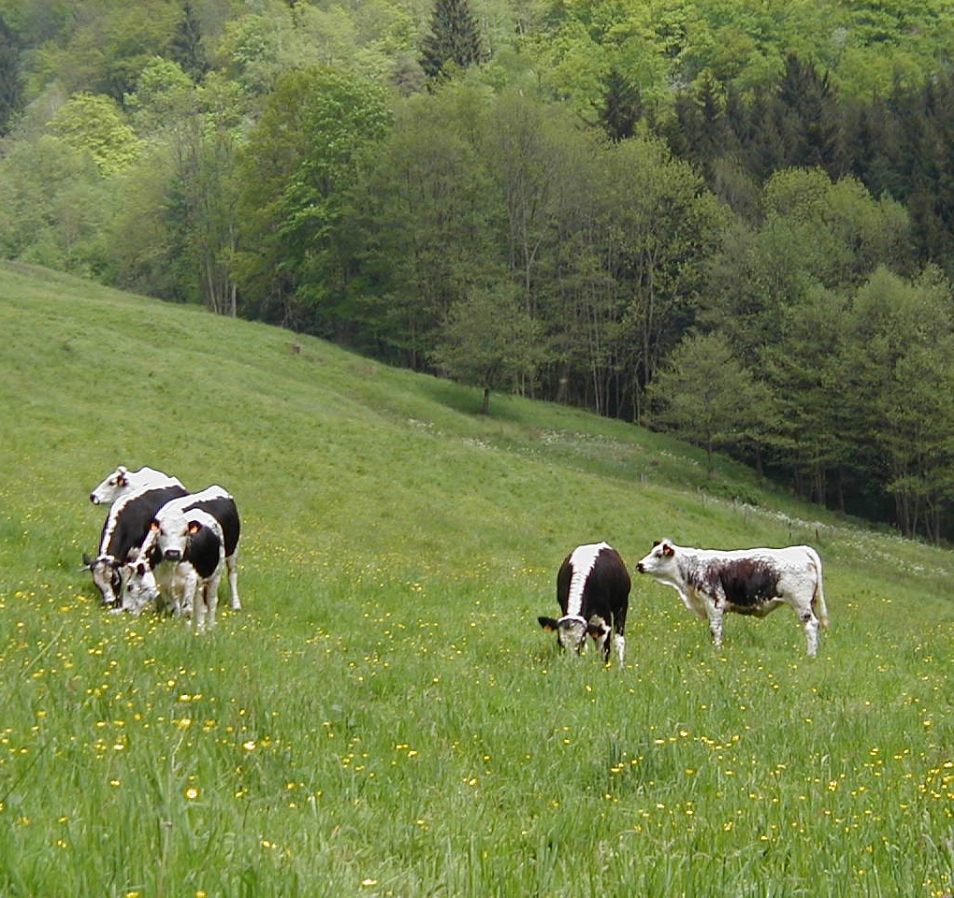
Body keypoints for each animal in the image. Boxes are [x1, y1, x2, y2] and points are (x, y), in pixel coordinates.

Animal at [636, 536, 828, 656]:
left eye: (658, 554)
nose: (639, 565)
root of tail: (801, 549)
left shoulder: (714, 602)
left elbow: (715, 629)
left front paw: (716, 650)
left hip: (800, 603)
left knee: (811, 625)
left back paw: (810, 655)